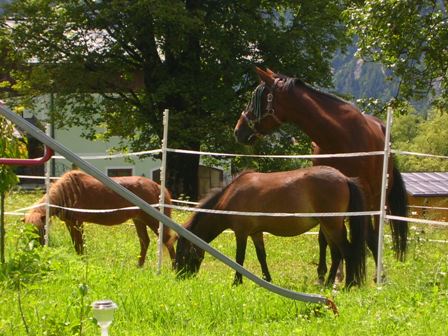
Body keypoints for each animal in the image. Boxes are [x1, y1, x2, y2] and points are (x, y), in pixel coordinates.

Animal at [23, 171, 176, 268]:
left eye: (40, 230)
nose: (34, 252)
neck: (67, 192)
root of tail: (158, 187)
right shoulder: (69, 223)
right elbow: (76, 244)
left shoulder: (78, 222)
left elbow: (80, 244)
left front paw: (83, 261)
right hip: (139, 220)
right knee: (145, 241)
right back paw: (139, 266)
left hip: (153, 220)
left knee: (167, 240)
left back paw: (175, 269)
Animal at [175, 167, 368, 288]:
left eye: (182, 252)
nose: (179, 276)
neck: (231, 195)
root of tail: (345, 178)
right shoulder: (256, 233)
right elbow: (262, 256)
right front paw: (267, 279)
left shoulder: (241, 233)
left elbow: (239, 258)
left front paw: (237, 282)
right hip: (328, 227)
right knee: (336, 255)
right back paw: (328, 284)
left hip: (332, 225)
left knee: (347, 252)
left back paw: (349, 284)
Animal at [234, 65, 410, 280]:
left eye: (255, 99)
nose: (238, 131)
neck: (339, 136)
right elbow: (323, 238)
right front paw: (323, 274)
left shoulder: (364, 197)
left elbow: (368, 236)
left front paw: (376, 277)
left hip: (376, 198)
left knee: (373, 233)